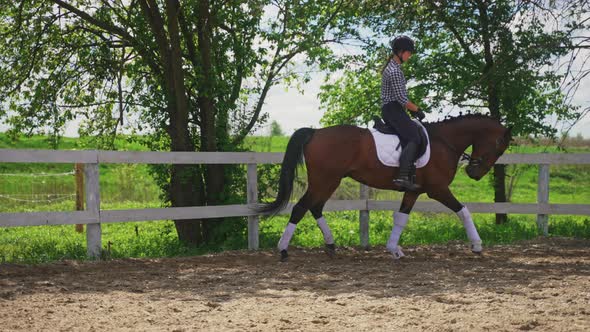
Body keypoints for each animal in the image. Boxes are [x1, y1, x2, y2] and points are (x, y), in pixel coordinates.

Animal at [256, 115, 512, 262]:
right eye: (500, 147)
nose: (474, 174)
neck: (444, 142)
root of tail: (316, 132)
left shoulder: (413, 190)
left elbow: (401, 217)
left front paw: (393, 249)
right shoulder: (437, 189)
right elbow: (463, 211)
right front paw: (477, 245)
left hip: (329, 181)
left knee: (315, 207)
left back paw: (330, 245)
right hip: (325, 180)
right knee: (301, 208)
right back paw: (283, 250)